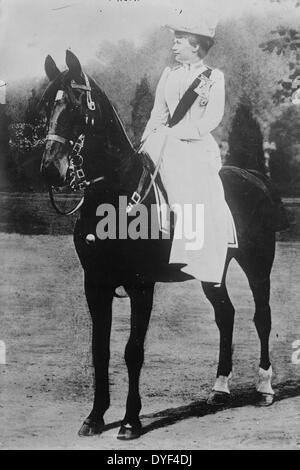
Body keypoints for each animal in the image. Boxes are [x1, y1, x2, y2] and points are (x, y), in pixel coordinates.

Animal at [40, 51, 282, 440]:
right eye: (47, 104)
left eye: (78, 106)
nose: (50, 169)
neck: (115, 195)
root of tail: (254, 176)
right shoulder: (95, 284)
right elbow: (100, 350)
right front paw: (95, 417)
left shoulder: (141, 286)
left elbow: (133, 350)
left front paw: (130, 420)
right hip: (213, 271)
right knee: (225, 314)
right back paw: (219, 389)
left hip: (258, 265)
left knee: (262, 317)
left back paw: (264, 387)